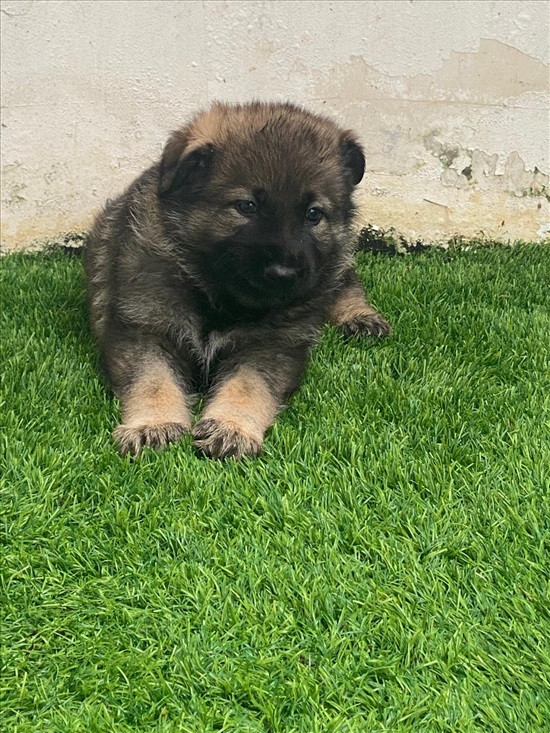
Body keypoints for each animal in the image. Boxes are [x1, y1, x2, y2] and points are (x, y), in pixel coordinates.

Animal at [84, 103, 390, 458]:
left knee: (345, 279)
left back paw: (361, 317)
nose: (284, 274)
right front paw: (154, 425)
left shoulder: (271, 344)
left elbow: (248, 386)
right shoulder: (144, 329)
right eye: (247, 207)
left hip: (332, 264)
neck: (216, 292)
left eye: (314, 214)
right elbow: (153, 380)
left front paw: (231, 428)